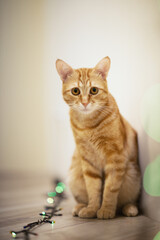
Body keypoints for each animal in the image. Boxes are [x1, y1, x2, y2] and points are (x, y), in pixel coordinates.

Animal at [55, 56, 141, 219]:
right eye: (75, 91)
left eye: (94, 90)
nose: (84, 102)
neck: (89, 126)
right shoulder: (88, 161)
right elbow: (93, 189)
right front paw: (92, 209)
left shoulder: (115, 158)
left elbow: (110, 189)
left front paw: (106, 209)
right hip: (75, 174)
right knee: (82, 198)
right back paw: (80, 207)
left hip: (132, 176)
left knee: (126, 202)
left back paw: (130, 209)